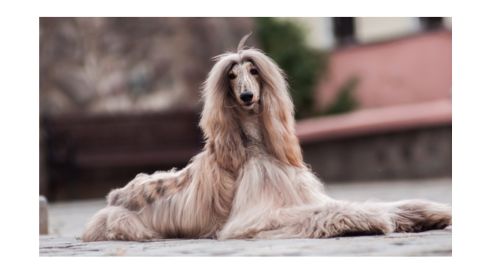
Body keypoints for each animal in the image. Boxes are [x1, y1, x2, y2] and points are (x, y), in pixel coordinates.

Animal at [81, 35, 450, 241]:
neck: (255, 147)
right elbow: (327, 211)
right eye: (231, 75)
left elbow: (372, 203)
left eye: (254, 71)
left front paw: (426, 212)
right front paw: (366, 220)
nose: (246, 96)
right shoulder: (256, 217)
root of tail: (114, 196)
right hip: (128, 224)